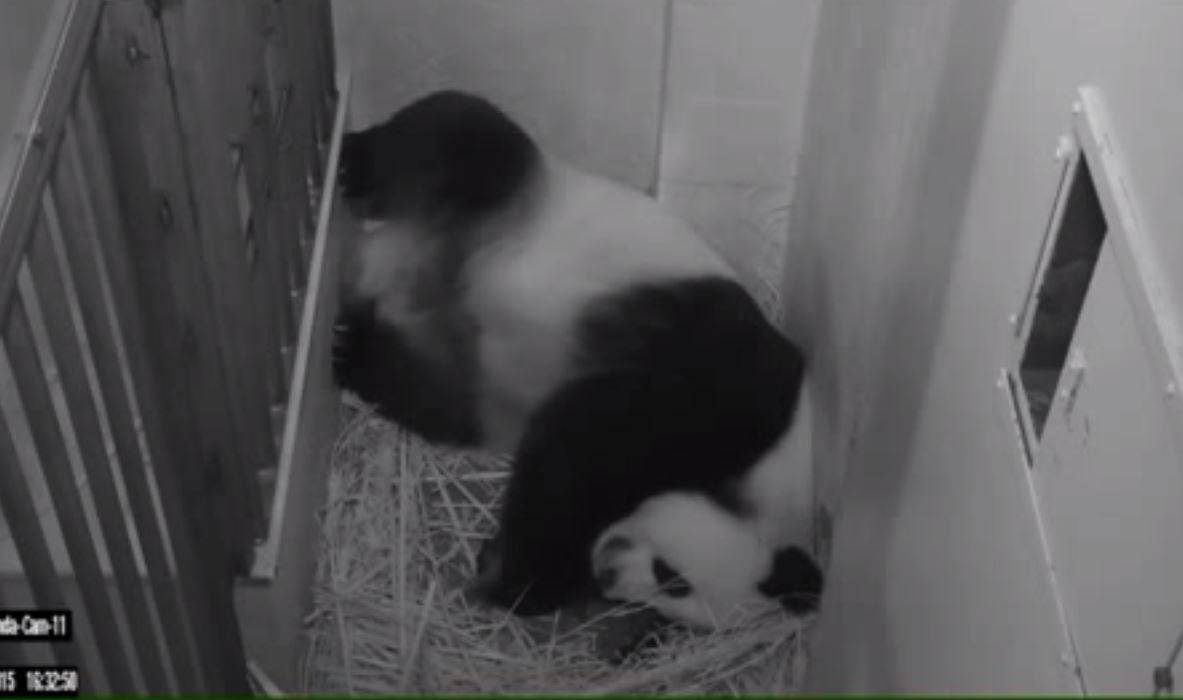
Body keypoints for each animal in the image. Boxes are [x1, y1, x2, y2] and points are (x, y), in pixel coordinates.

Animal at [332, 89, 822, 617]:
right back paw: (353, 164)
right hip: (511, 188)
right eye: (671, 577)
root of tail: (395, 265)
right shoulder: (728, 391)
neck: (764, 477)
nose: (609, 580)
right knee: (456, 134)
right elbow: (585, 437)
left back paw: (354, 344)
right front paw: (515, 578)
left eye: (664, 605)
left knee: (425, 394)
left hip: (466, 376)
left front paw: (520, 572)